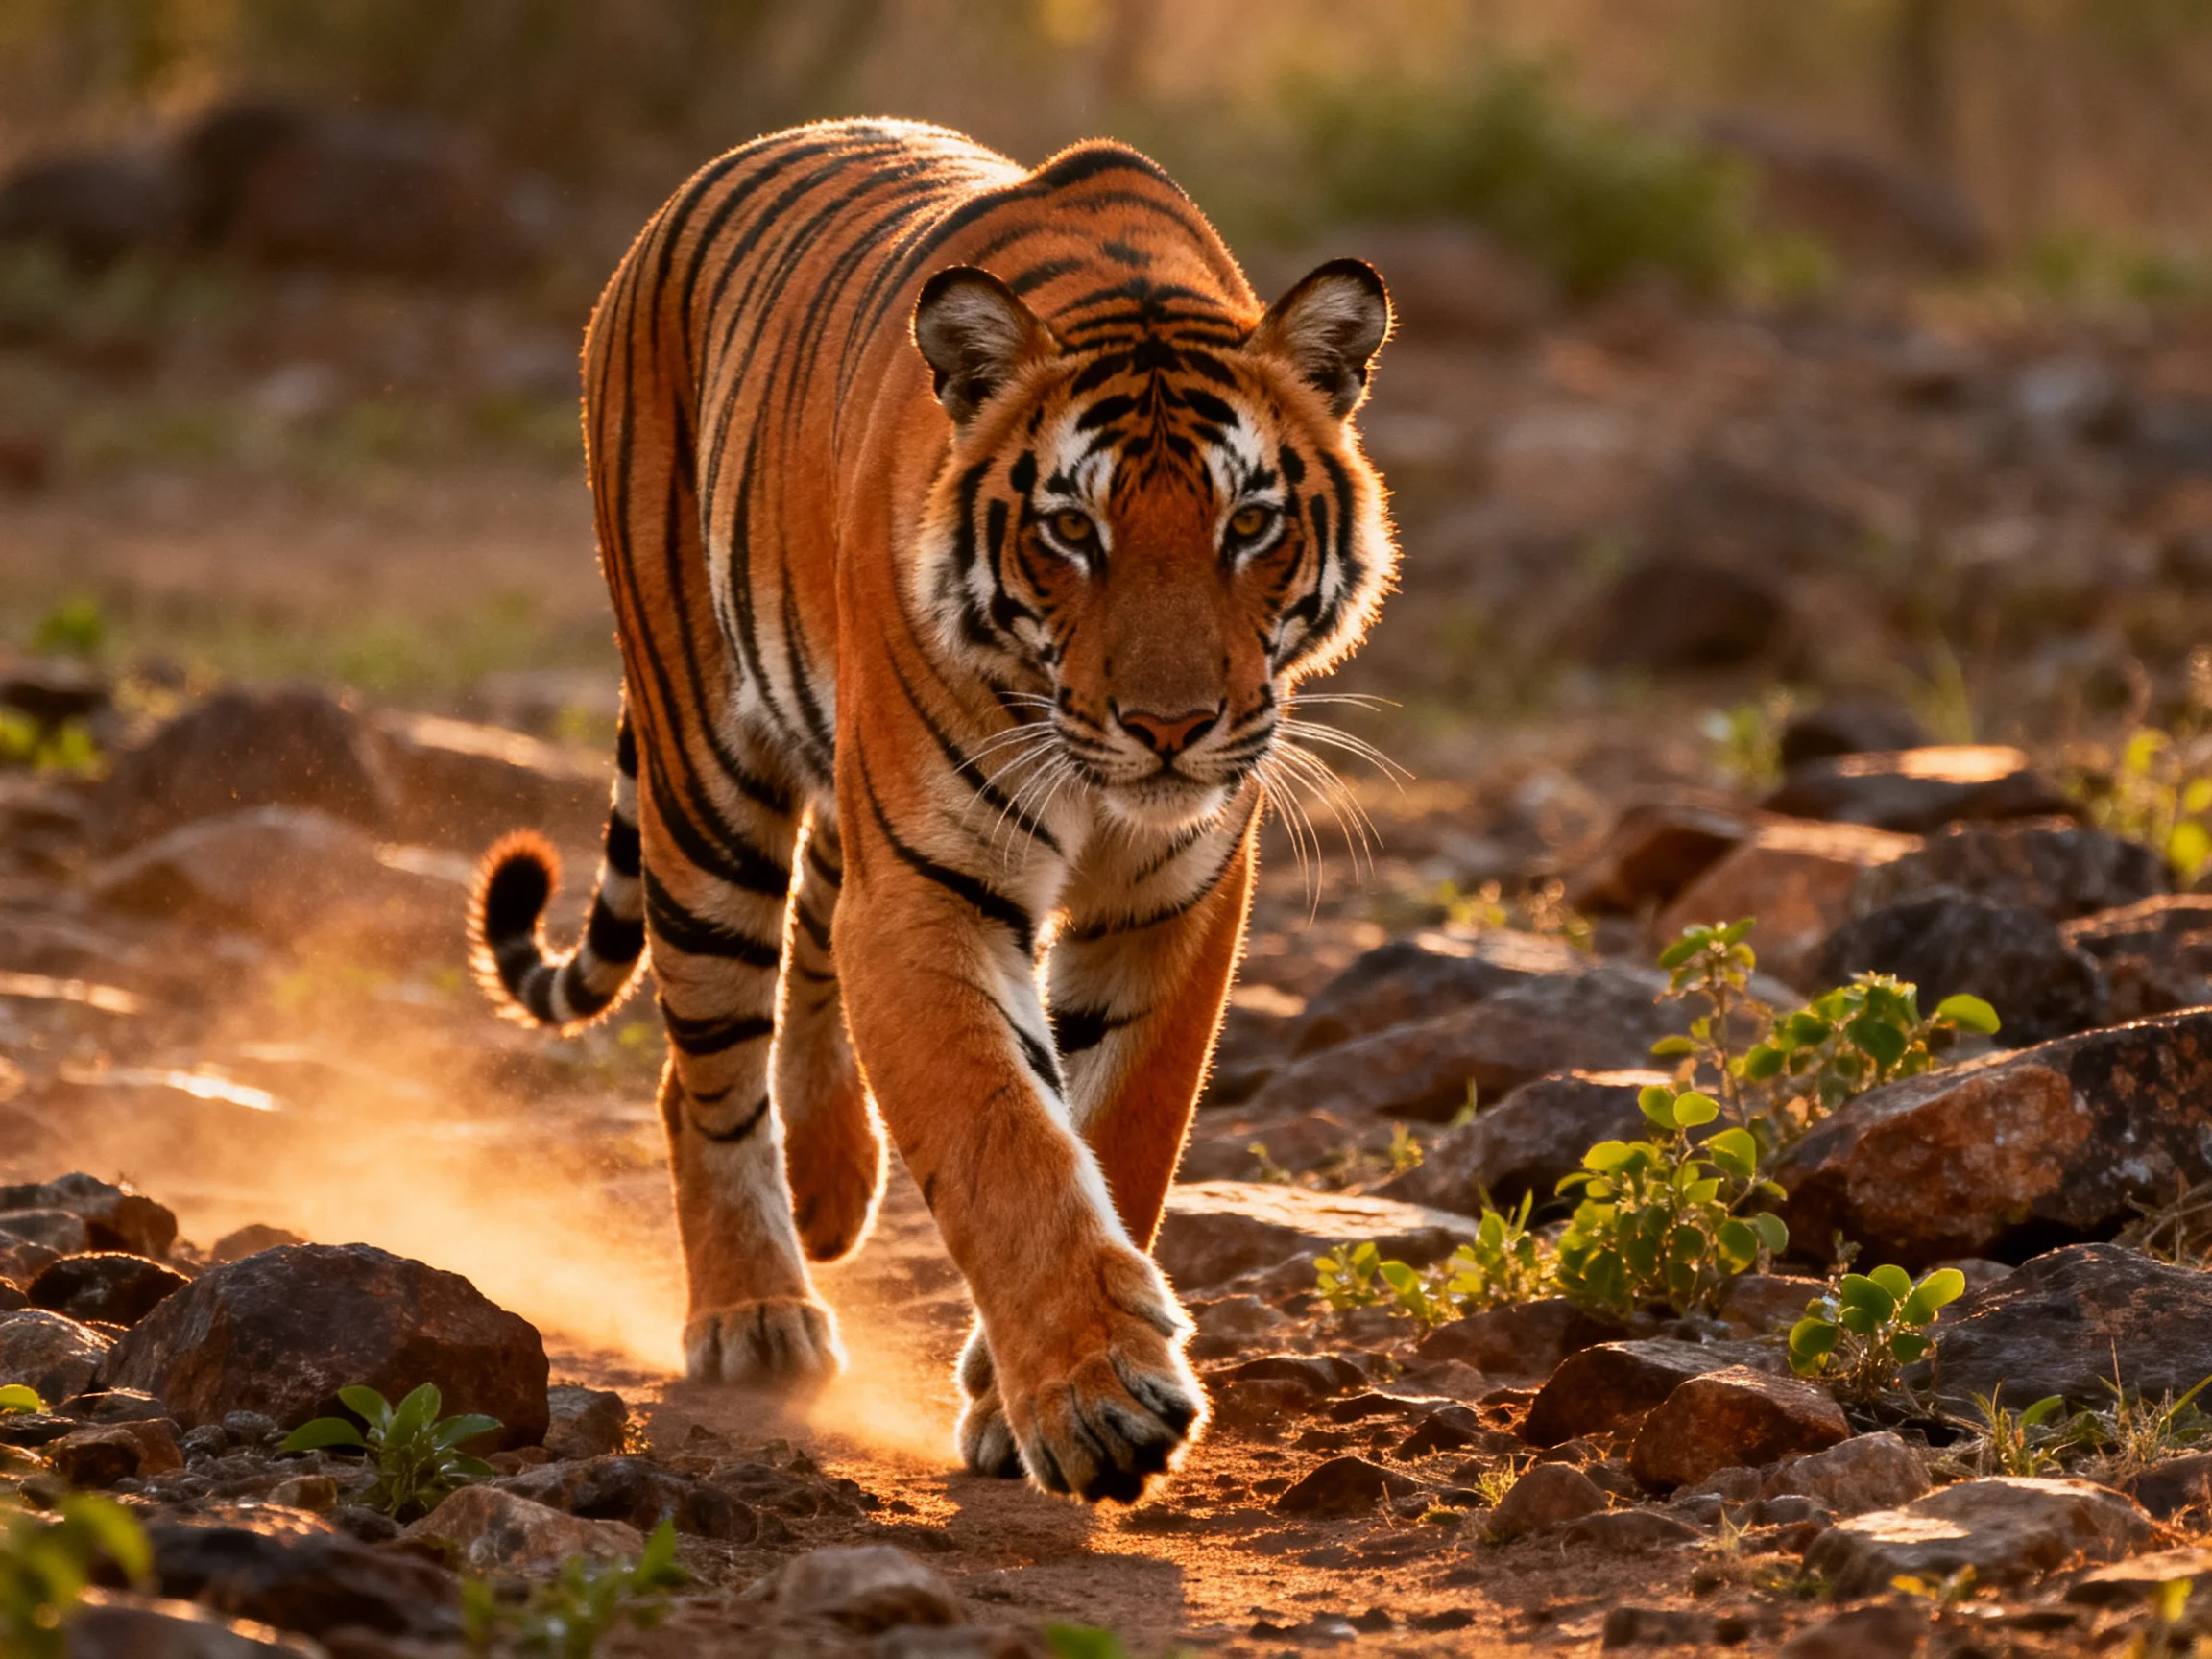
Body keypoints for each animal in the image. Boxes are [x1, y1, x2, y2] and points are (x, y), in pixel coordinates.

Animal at [469, 118, 1395, 1503]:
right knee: (704, 1068)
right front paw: (1099, 1402)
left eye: (1250, 524)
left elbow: (1117, 1129)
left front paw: (1018, 1400)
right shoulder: (928, 889)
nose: (1169, 727)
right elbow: (1003, 1139)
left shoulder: (1173, 898)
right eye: (1071, 530)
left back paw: (832, 1189)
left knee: (808, 936)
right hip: (706, 777)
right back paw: (756, 1313)